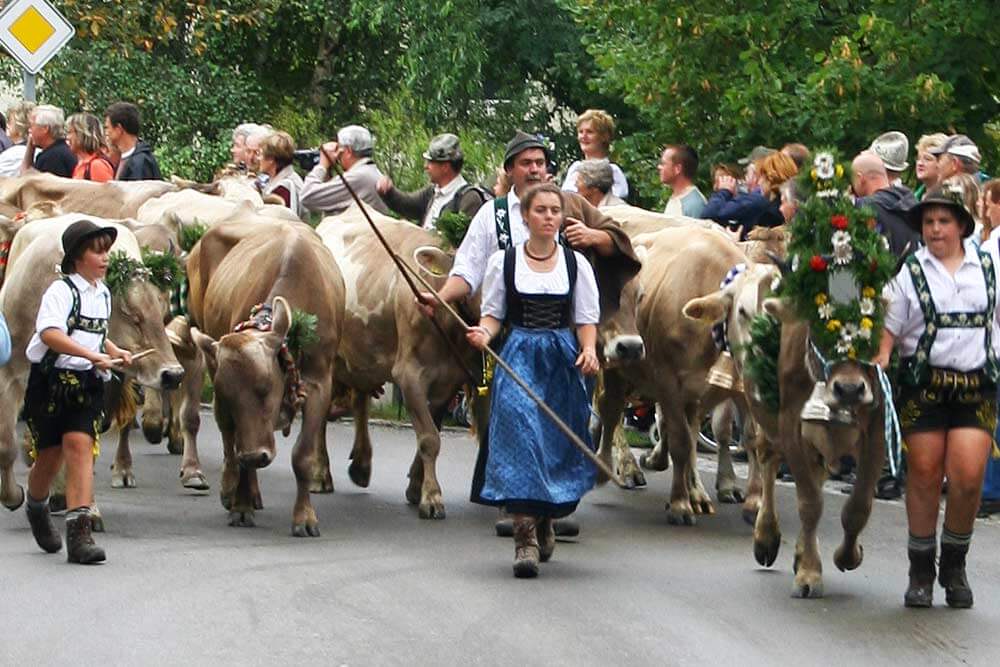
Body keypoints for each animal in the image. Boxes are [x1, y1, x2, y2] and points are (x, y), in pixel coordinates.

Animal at [186, 222, 346, 536]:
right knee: (228, 440)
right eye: (229, 396)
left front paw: (304, 518)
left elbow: (303, 455)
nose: (254, 456)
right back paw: (233, 488)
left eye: (265, 388)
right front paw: (240, 505)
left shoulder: (319, 381)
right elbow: (235, 444)